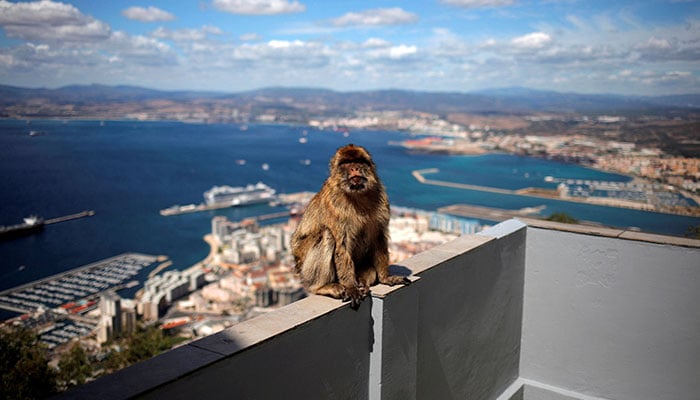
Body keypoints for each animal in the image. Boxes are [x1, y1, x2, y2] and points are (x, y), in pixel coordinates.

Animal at [291, 144, 410, 309]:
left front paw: (385, 278)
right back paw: (323, 287)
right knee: (327, 234)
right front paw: (351, 288)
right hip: (305, 268)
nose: (355, 168)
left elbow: (378, 238)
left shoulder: (381, 198)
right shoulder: (335, 206)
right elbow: (342, 245)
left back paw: (362, 281)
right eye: (346, 163)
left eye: (359, 161)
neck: (358, 195)